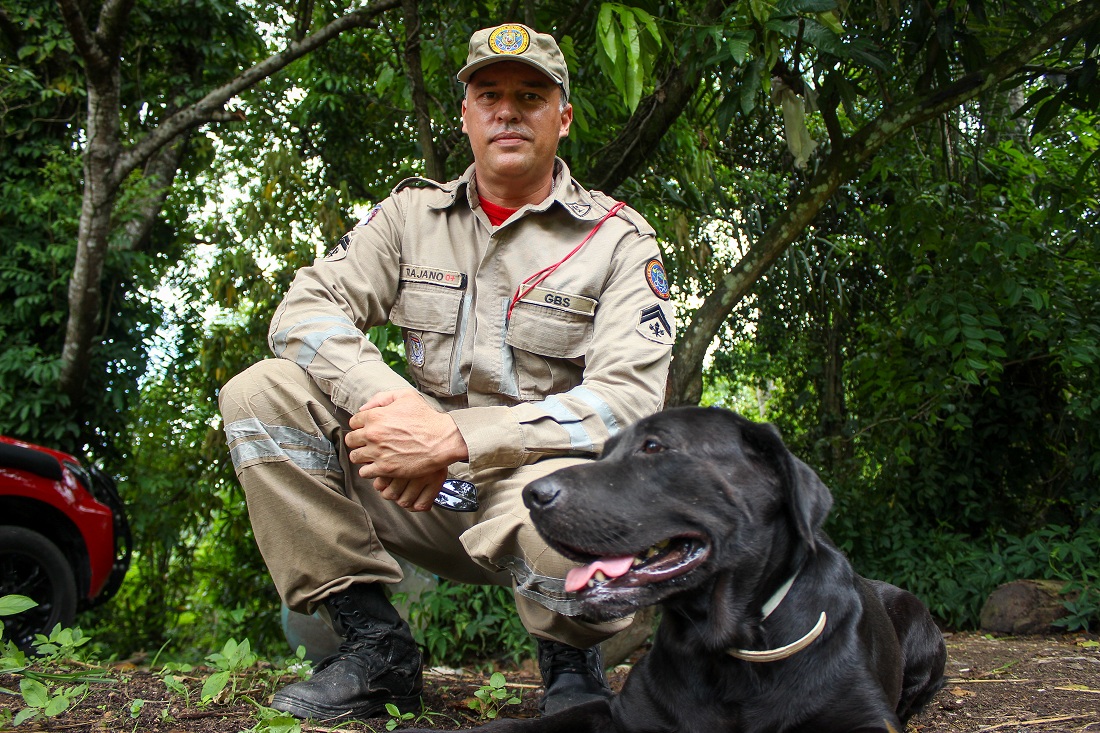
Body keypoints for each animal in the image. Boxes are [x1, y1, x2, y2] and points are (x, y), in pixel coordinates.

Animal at [477, 405, 941, 730]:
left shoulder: (864, 719)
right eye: (606, 453)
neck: (728, 648)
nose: (532, 494)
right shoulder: (622, 712)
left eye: (653, 447)